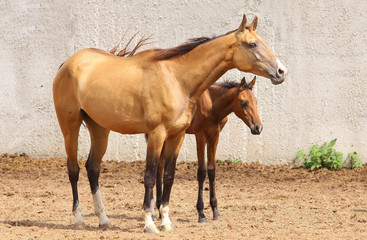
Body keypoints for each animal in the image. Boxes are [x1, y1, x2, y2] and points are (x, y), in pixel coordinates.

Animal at [155, 76, 262, 223]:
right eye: (244, 102)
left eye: (256, 101)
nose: (258, 128)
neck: (212, 106)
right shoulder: (200, 137)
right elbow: (201, 172)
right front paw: (201, 213)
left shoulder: (214, 137)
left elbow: (211, 171)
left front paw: (215, 211)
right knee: (158, 168)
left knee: (160, 167)